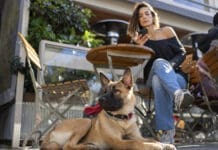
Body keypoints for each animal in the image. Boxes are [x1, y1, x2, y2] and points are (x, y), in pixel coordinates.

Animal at [41, 68, 176, 150]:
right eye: (104, 91)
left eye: (116, 91)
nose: (100, 100)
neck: (122, 119)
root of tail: (51, 132)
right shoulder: (119, 142)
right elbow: (136, 143)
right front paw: (156, 146)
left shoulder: (139, 137)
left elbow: (152, 139)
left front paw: (165, 144)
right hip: (86, 121)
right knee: (67, 146)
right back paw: (89, 147)